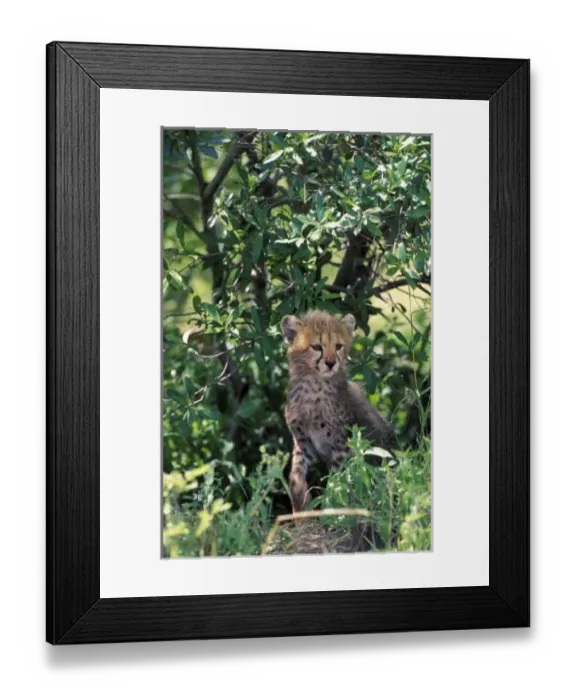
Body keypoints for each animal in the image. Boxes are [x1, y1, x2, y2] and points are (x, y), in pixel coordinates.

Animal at [281, 310, 396, 513]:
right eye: (316, 346)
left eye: (338, 346)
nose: (330, 362)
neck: (314, 385)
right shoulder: (303, 442)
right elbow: (294, 475)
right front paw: (301, 503)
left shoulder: (340, 446)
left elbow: (336, 483)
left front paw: (331, 510)